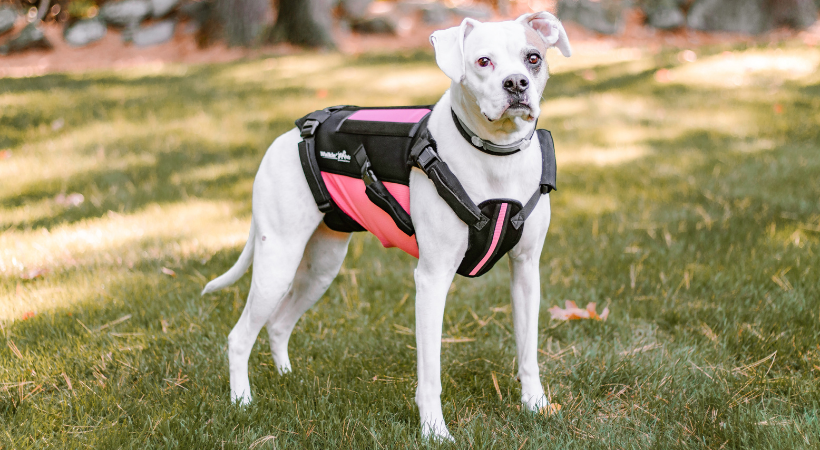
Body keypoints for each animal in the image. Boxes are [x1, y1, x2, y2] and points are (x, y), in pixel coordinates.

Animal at [203, 12, 572, 442]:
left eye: (533, 57)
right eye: (483, 61)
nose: (516, 84)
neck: (495, 156)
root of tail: (286, 137)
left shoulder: (526, 270)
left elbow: (528, 352)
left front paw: (536, 405)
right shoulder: (431, 279)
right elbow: (430, 373)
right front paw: (434, 431)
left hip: (320, 268)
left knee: (278, 324)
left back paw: (286, 377)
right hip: (276, 263)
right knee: (239, 336)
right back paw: (242, 401)